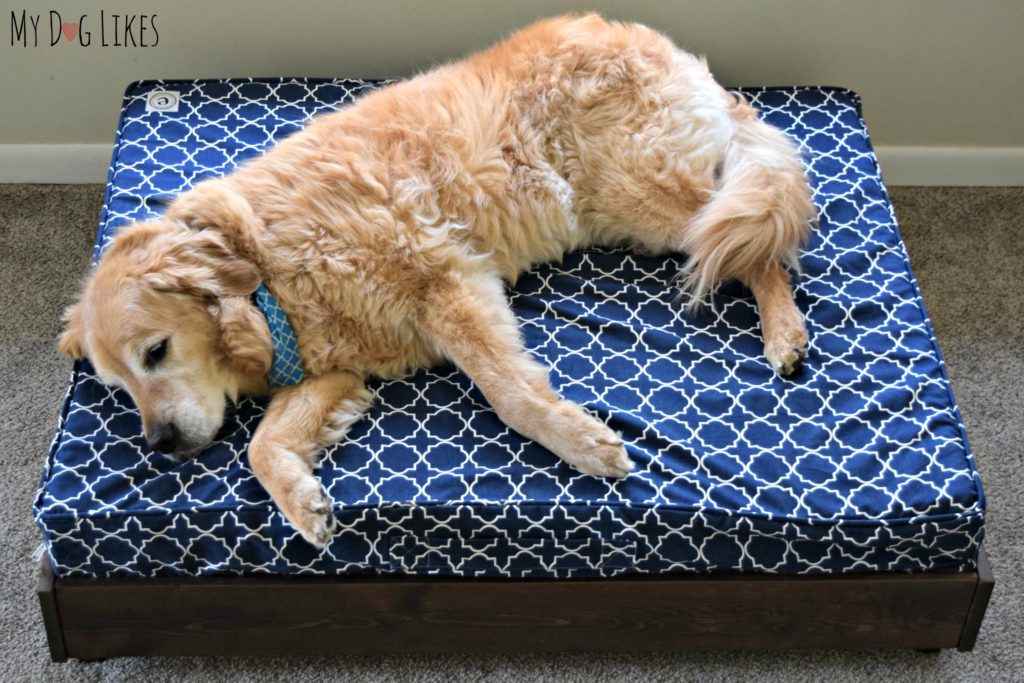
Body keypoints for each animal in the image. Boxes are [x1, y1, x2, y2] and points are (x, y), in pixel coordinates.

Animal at [58, 14, 815, 544]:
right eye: (119, 387)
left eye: (156, 352)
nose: (159, 446)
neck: (268, 272)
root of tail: (673, 53)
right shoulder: (336, 371)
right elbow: (260, 446)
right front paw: (301, 500)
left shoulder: (450, 285)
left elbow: (511, 394)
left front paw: (580, 443)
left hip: (648, 198)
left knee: (757, 249)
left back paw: (784, 334)